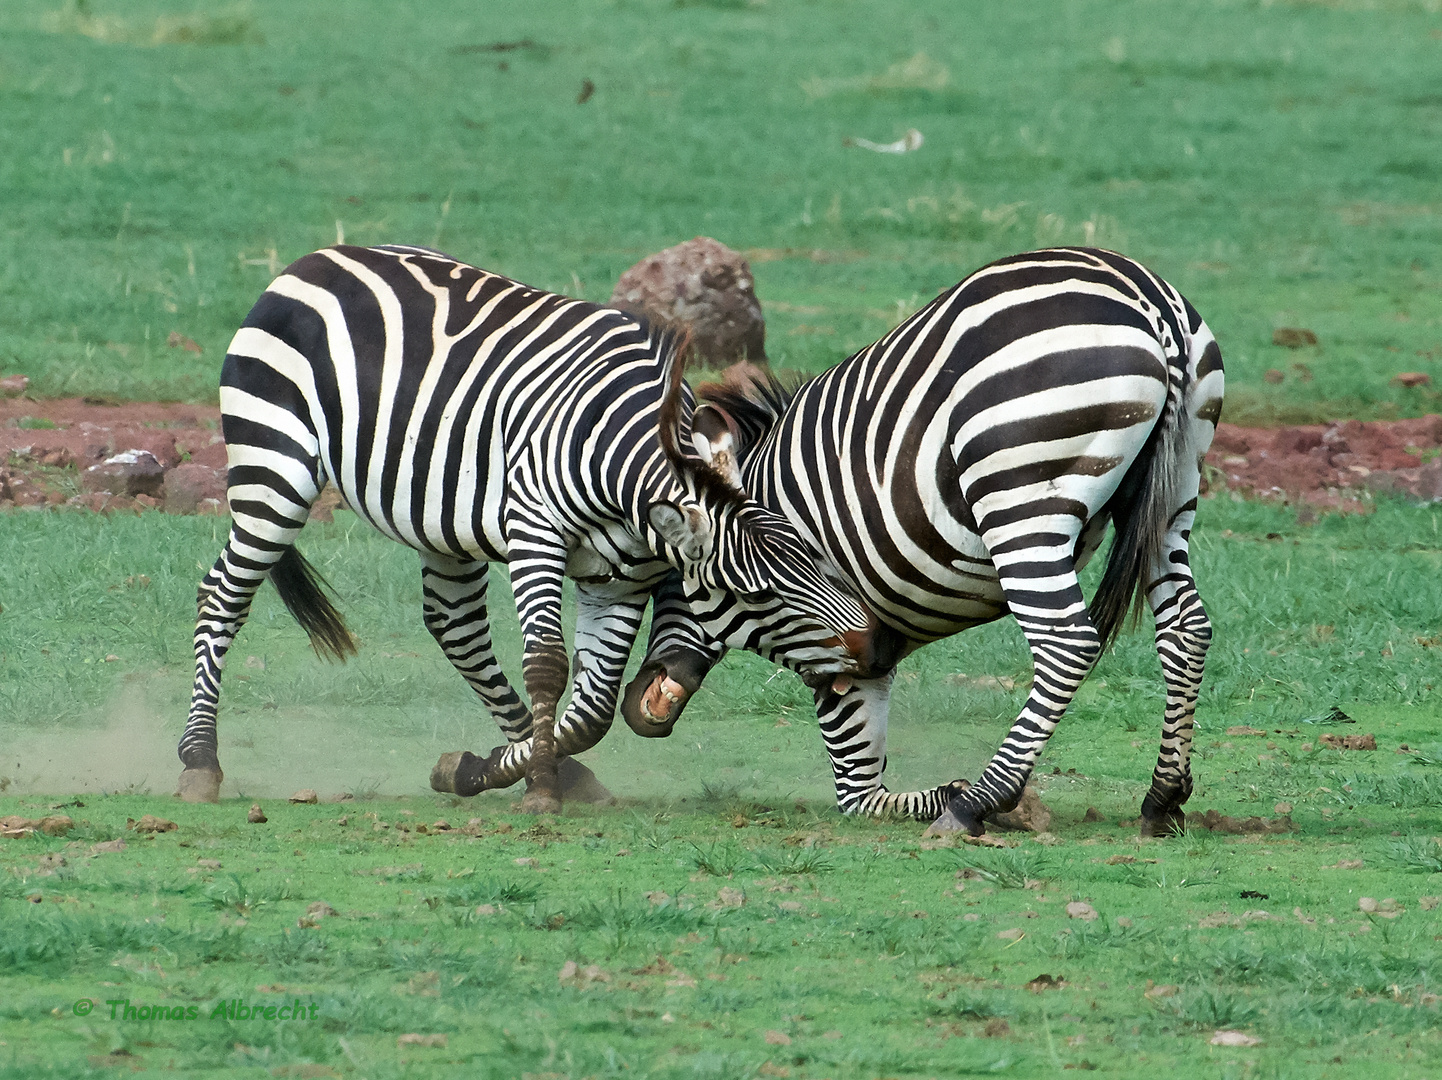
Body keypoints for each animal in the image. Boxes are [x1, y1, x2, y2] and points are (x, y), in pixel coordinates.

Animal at [177, 243, 876, 813]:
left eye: (816, 557)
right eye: (757, 595)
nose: (872, 649)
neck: (623, 464)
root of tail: (312, 261)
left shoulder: (619, 576)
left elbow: (594, 707)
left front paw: (490, 769)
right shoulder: (535, 532)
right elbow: (547, 666)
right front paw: (538, 790)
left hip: (443, 519)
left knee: (454, 626)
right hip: (274, 467)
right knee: (223, 596)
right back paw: (199, 762)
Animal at [617, 246, 1217, 836]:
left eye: (668, 579)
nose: (637, 702)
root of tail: (1152, 305)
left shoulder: (826, 635)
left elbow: (854, 785)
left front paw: (944, 797)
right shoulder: (862, 641)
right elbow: (861, 777)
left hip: (1019, 500)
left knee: (1066, 642)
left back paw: (977, 802)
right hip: (1175, 487)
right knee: (1186, 627)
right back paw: (1163, 798)